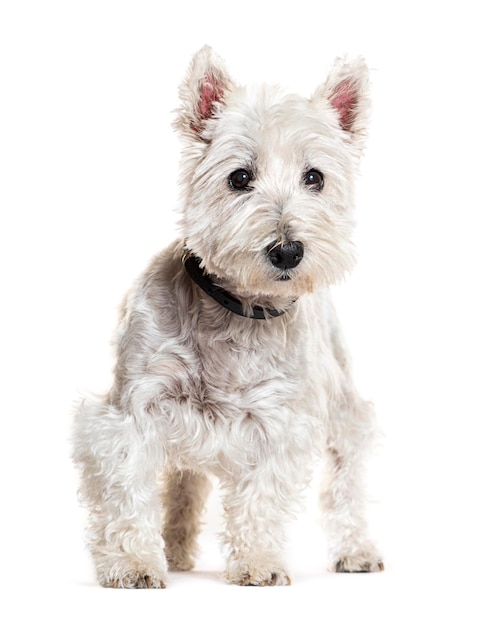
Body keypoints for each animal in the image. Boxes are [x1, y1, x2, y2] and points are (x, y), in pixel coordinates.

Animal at [73, 45, 384, 584]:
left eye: (315, 177)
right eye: (239, 177)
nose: (287, 251)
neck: (237, 310)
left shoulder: (280, 421)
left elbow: (261, 497)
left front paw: (258, 562)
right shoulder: (132, 410)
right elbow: (128, 489)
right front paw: (134, 563)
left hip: (342, 403)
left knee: (346, 476)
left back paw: (356, 551)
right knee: (183, 483)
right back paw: (174, 550)